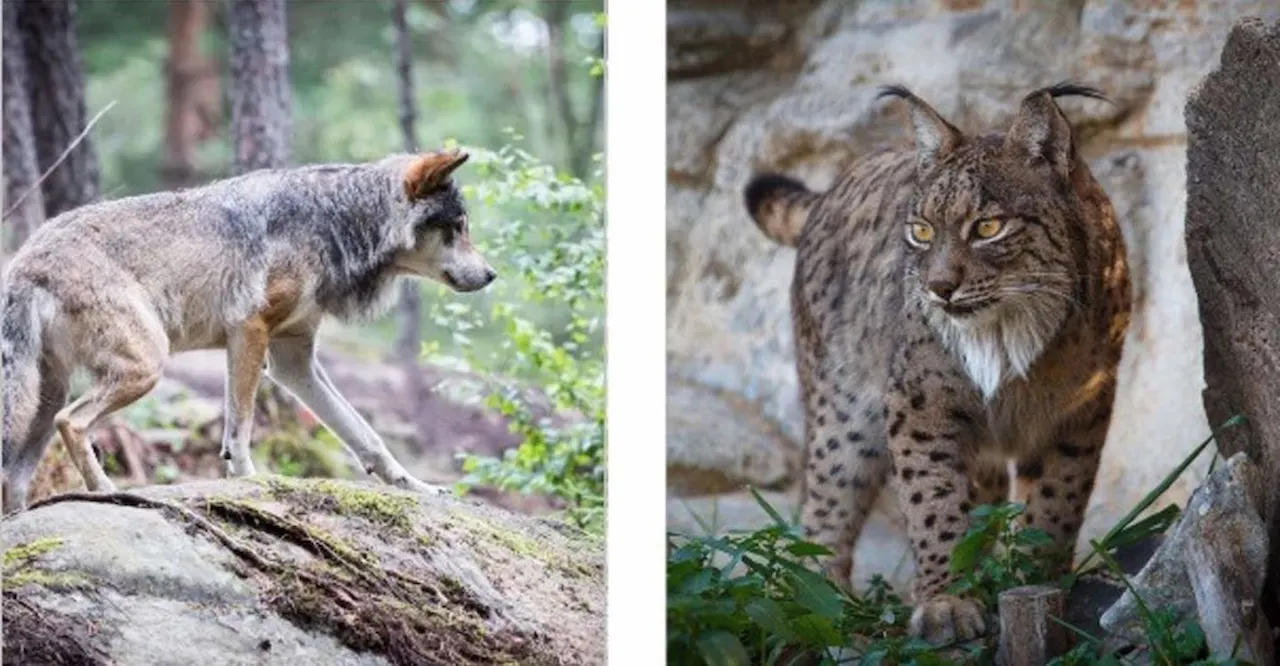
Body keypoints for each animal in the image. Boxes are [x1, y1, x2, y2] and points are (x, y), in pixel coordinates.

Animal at [1, 148, 494, 512]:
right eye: (458, 228)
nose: (491, 275)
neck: (333, 222)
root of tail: (24, 261)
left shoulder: (294, 361)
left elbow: (366, 436)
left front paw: (416, 486)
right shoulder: (250, 331)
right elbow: (240, 429)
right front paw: (249, 483)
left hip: (47, 398)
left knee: (17, 474)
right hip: (142, 367)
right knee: (73, 422)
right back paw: (106, 492)